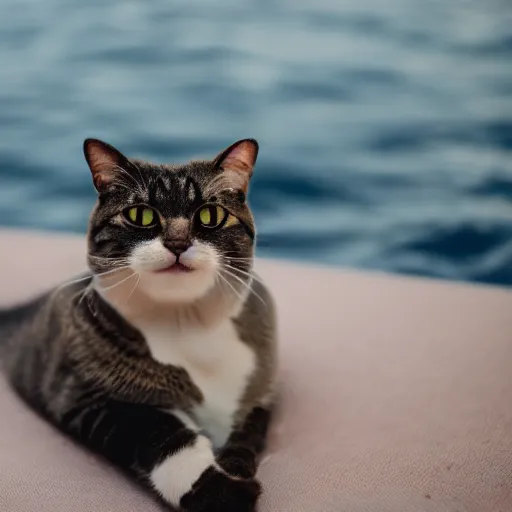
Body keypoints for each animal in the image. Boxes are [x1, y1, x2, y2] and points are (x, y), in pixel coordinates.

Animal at [0, 139, 276, 512]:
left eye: (210, 215)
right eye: (141, 215)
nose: (177, 243)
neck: (184, 322)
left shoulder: (260, 391)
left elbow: (246, 435)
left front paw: (234, 467)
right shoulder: (84, 397)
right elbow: (161, 434)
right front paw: (222, 494)